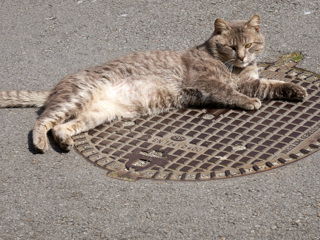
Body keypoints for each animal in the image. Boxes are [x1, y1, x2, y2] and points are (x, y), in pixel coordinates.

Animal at [0, 15, 306, 153]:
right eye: (232, 47)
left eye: (250, 45)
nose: (242, 56)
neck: (235, 68)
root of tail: (55, 86)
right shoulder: (207, 81)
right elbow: (230, 92)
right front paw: (249, 102)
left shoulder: (251, 81)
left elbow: (271, 84)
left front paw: (294, 89)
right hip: (75, 98)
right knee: (42, 123)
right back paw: (41, 143)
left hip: (98, 114)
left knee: (61, 127)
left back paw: (63, 141)